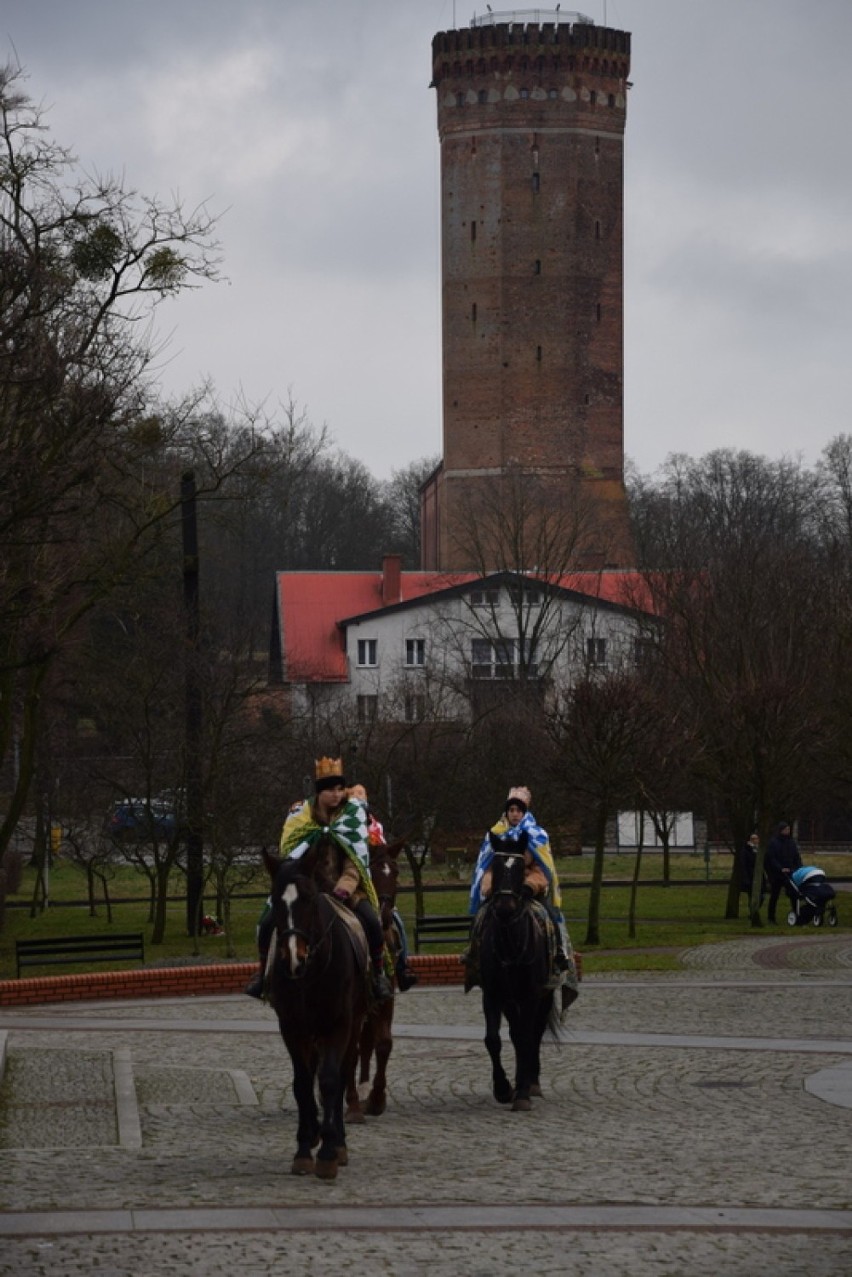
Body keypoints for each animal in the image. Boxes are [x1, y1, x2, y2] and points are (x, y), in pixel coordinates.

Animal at [263, 842, 370, 1179]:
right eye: (276, 900)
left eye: (309, 899)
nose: (293, 957)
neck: (310, 973)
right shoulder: (291, 1028)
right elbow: (301, 1084)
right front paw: (303, 1148)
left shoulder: (338, 1025)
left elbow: (331, 1080)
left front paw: (329, 1151)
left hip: (353, 1024)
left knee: (342, 1073)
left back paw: (336, 1140)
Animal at [480, 832, 559, 1113]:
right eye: (495, 865)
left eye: (520, 869)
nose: (504, 906)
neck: (509, 943)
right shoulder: (492, 995)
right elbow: (493, 1039)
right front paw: (504, 1088)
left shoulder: (531, 995)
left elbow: (527, 1038)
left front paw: (523, 1092)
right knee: (516, 1034)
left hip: (545, 996)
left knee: (533, 1034)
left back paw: (531, 1083)